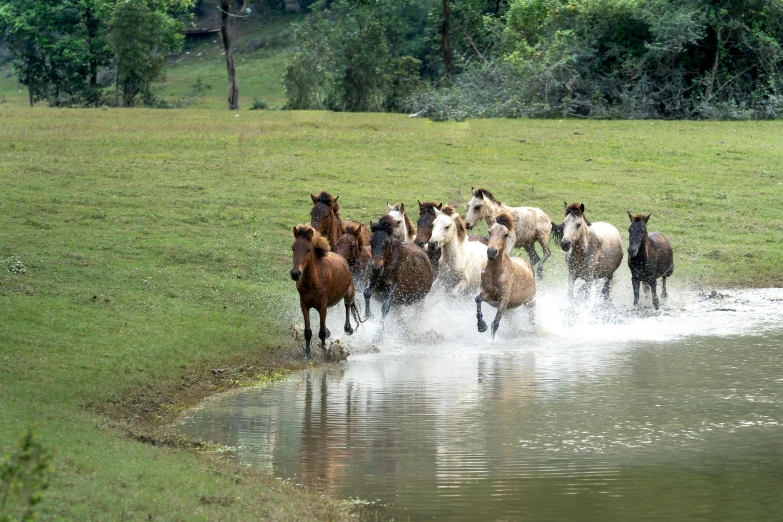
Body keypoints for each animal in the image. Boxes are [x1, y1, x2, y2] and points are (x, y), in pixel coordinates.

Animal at [290, 223, 362, 358]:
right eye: (293, 248)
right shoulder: (304, 305)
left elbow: (322, 331)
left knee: (347, 306)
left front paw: (325, 350)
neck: (313, 281)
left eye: (308, 249)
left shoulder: (322, 306)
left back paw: (348, 329)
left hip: (349, 293)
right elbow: (308, 332)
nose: (295, 274)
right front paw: (307, 355)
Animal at [368, 214, 434, 342]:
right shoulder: (374, 281)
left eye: (387, 243)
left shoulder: (395, 287)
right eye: (371, 241)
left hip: (420, 299)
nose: (376, 269)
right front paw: (367, 315)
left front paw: (378, 336)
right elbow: (366, 292)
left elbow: (385, 307)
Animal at [474, 210, 536, 338]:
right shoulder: (488, 295)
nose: (491, 252)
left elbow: (495, 323)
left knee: (532, 318)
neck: (496, 272)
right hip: (510, 310)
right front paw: (481, 326)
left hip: (530, 301)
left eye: (505, 234)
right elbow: (478, 299)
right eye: (490, 231)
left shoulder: (504, 299)